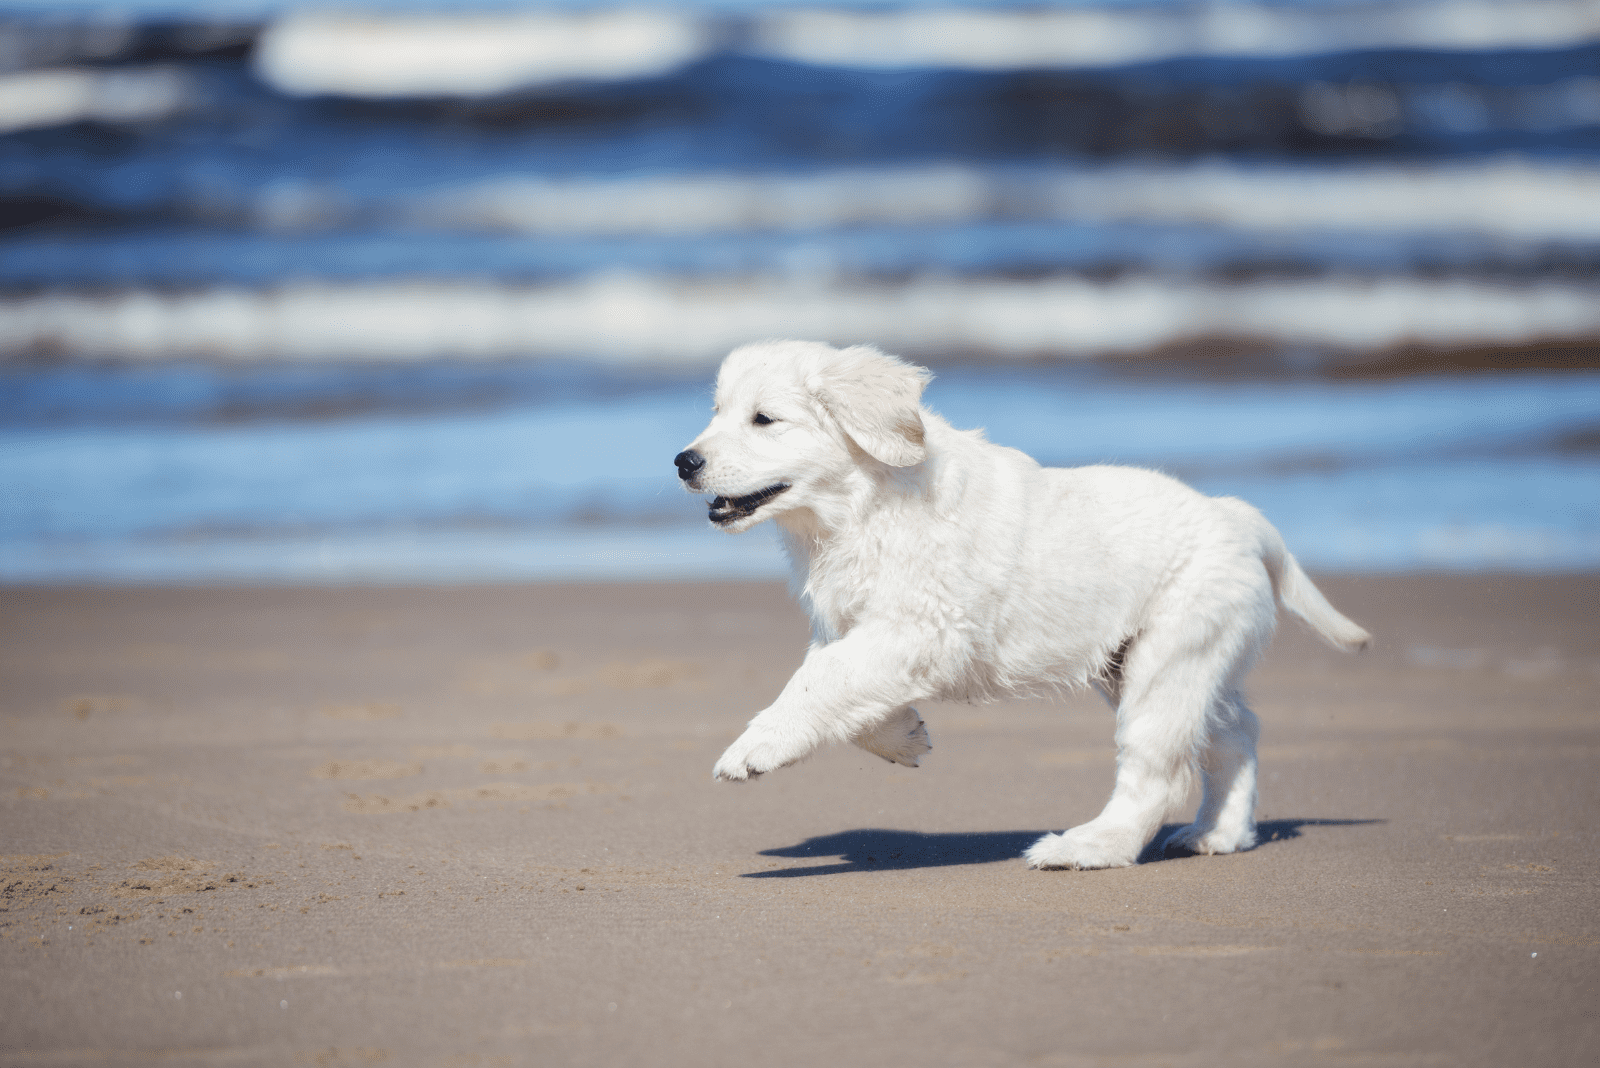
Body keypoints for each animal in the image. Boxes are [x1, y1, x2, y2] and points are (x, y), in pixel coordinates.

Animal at [668, 342, 1369, 869]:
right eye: (717, 411)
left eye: (764, 419)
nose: (683, 460)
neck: (858, 508)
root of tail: (1235, 515)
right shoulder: (859, 627)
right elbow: (841, 685)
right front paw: (904, 737)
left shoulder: (922, 626)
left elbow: (820, 680)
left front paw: (755, 748)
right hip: (1163, 662)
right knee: (1235, 732)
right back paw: (1219, 834)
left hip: (1169, 660)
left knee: (1160, 769)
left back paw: (1089, 848)